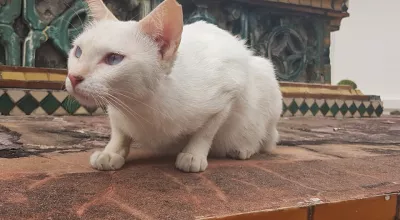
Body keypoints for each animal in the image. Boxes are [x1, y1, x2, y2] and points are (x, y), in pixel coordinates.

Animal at [65, 0, 282, 173]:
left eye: (113, 59)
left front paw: (192, 155)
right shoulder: (116, 111)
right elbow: (120, 132)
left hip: (265, 75)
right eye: (78, 51)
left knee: (264, 136)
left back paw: (244, 147)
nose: (74, 77)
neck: (140, 106)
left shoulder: (228, 92)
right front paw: (111, 152)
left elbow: (205, 132)